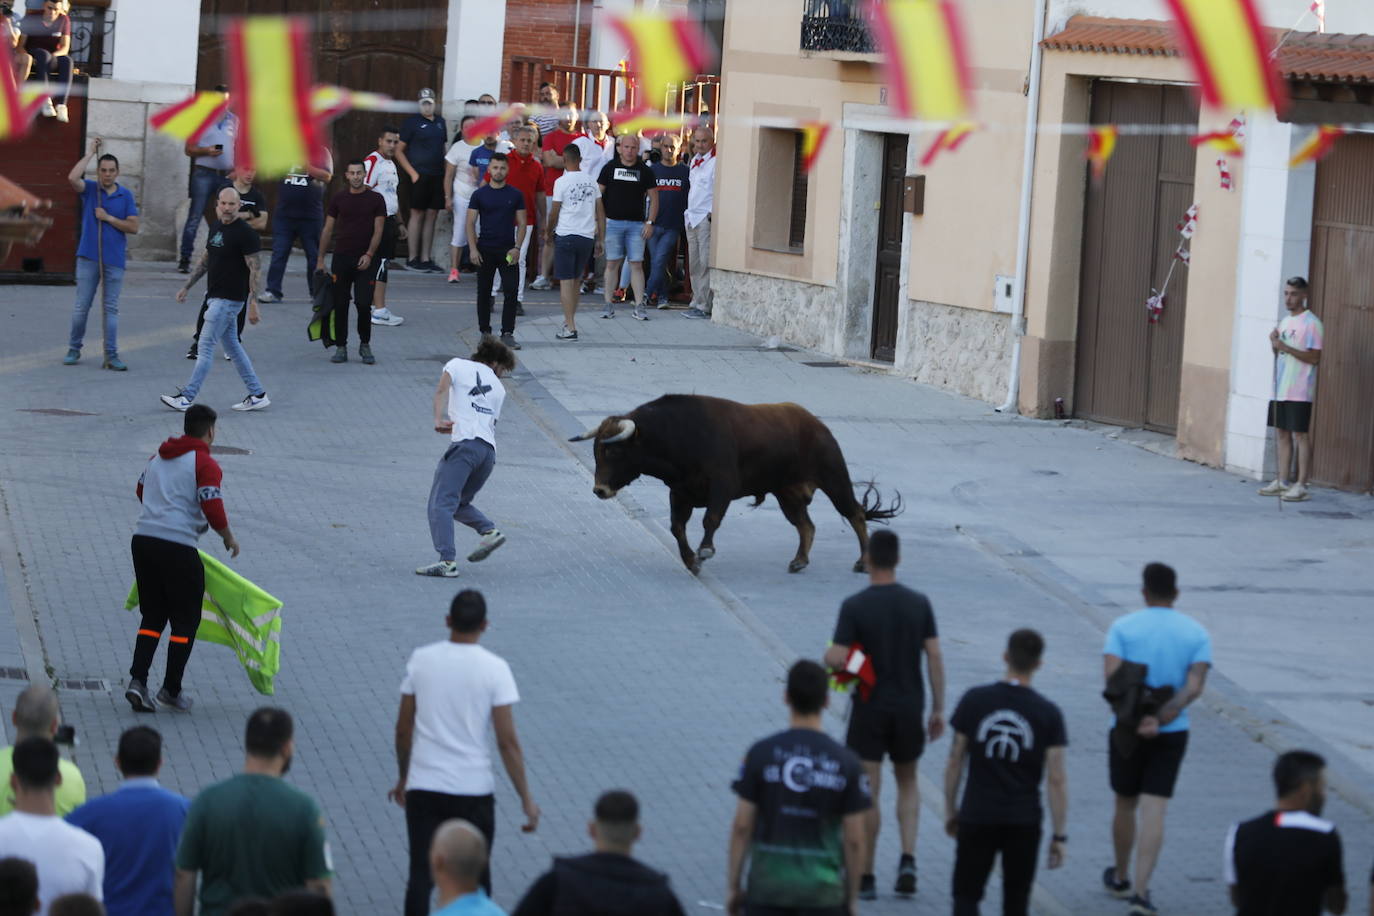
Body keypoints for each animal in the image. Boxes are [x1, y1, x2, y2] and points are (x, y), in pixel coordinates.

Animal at [568, 395, 901, 574]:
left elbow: (710, 519)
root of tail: (816, 423)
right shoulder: (680, 492)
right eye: (595, 451)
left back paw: (863, 562)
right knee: (806, 525)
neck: (676, 435)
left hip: (834, 479)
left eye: (613, 451)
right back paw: (799, 561)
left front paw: (705, 551)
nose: (600, 490)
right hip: (788, 495)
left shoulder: (722, 487)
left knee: (855, 514)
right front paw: (691, 560)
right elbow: (677, 527)